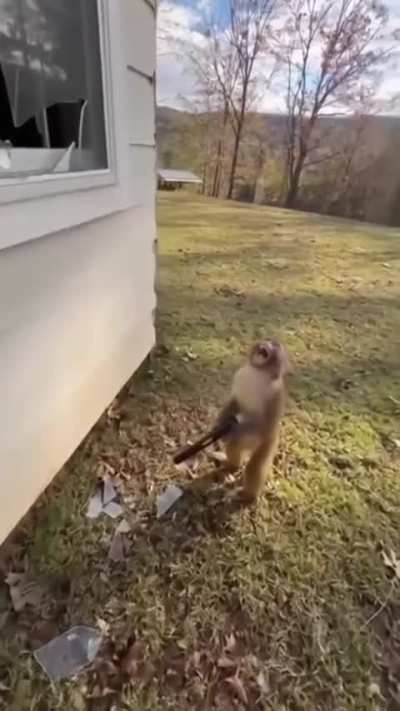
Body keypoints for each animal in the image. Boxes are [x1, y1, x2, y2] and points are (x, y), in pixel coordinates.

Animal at [173, 339, 290, 501]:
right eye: (268, 341)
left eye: (276, 345)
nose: (267, 344)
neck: (258, 372)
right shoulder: (240, 376)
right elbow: (235, 401)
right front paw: (219, 423)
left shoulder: (274, 396)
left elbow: (263, 422)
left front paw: (230, 430)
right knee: (235, 448)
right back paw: (231, 464)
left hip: (264, 440)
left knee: (253, 464)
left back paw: (247, 496)